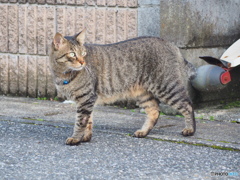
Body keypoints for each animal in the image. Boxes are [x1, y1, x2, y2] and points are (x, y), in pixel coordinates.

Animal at [49, 29, 196, 145]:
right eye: (73, 54)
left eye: (84, 53)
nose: (82, 62)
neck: (63, 74)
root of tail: (170, 43)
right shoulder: (85, 101)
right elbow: (88, 121)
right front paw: (85, 137)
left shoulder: (86, 98)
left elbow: (80, 122)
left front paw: (76, 138)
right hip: (143, 94)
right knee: (154, 110)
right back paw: (143, 132)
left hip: (167, 87)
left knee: (188, 105)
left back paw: (190, 129)